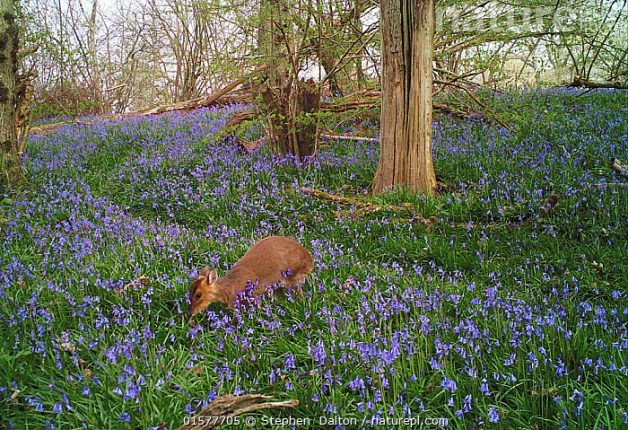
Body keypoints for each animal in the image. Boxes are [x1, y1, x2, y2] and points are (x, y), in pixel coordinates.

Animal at [186, 235, 314, 316]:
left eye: (198, 295)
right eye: (189, 289)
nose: (190, 313)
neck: (229, 289)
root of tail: (311, 261)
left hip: (293, 277)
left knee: (300, 295)